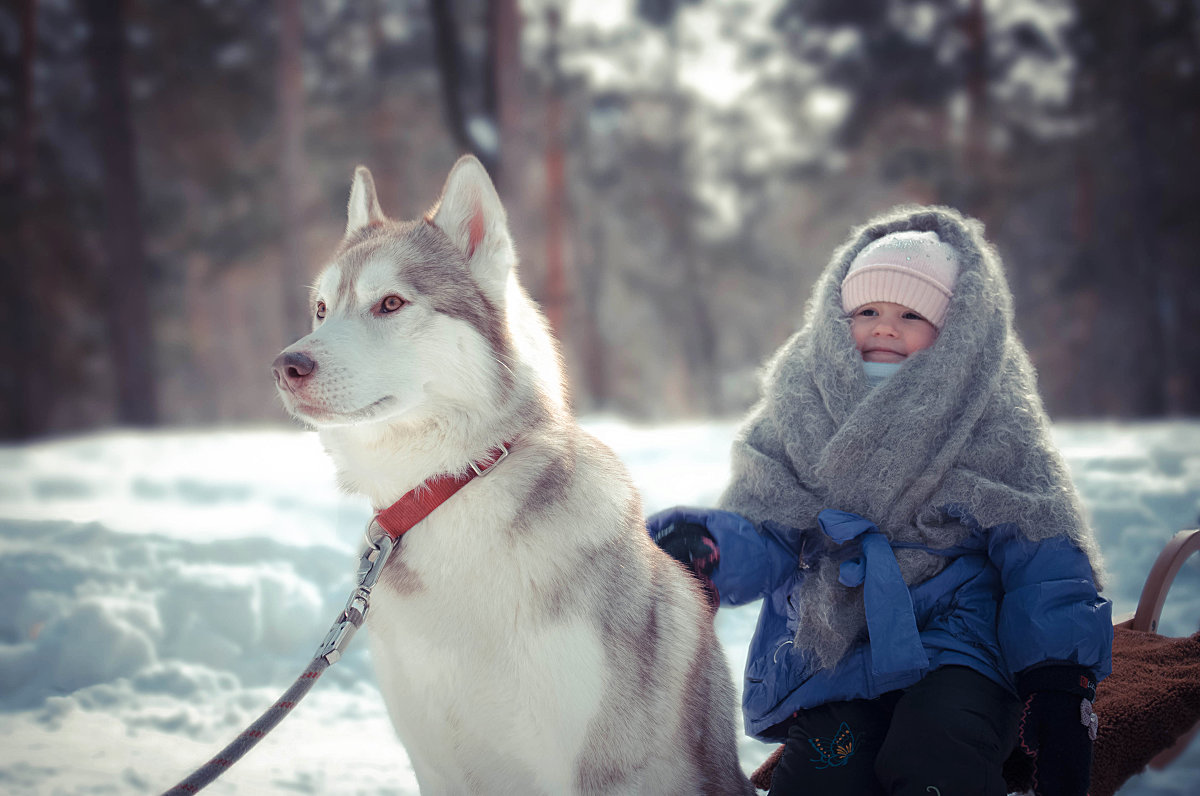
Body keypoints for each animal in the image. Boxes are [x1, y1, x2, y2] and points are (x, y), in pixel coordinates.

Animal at [272, 157, 748, 796]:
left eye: (391, 304)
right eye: (322, 310)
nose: (286, 365)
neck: (449, 492)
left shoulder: (589, 768)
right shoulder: (436, 765)